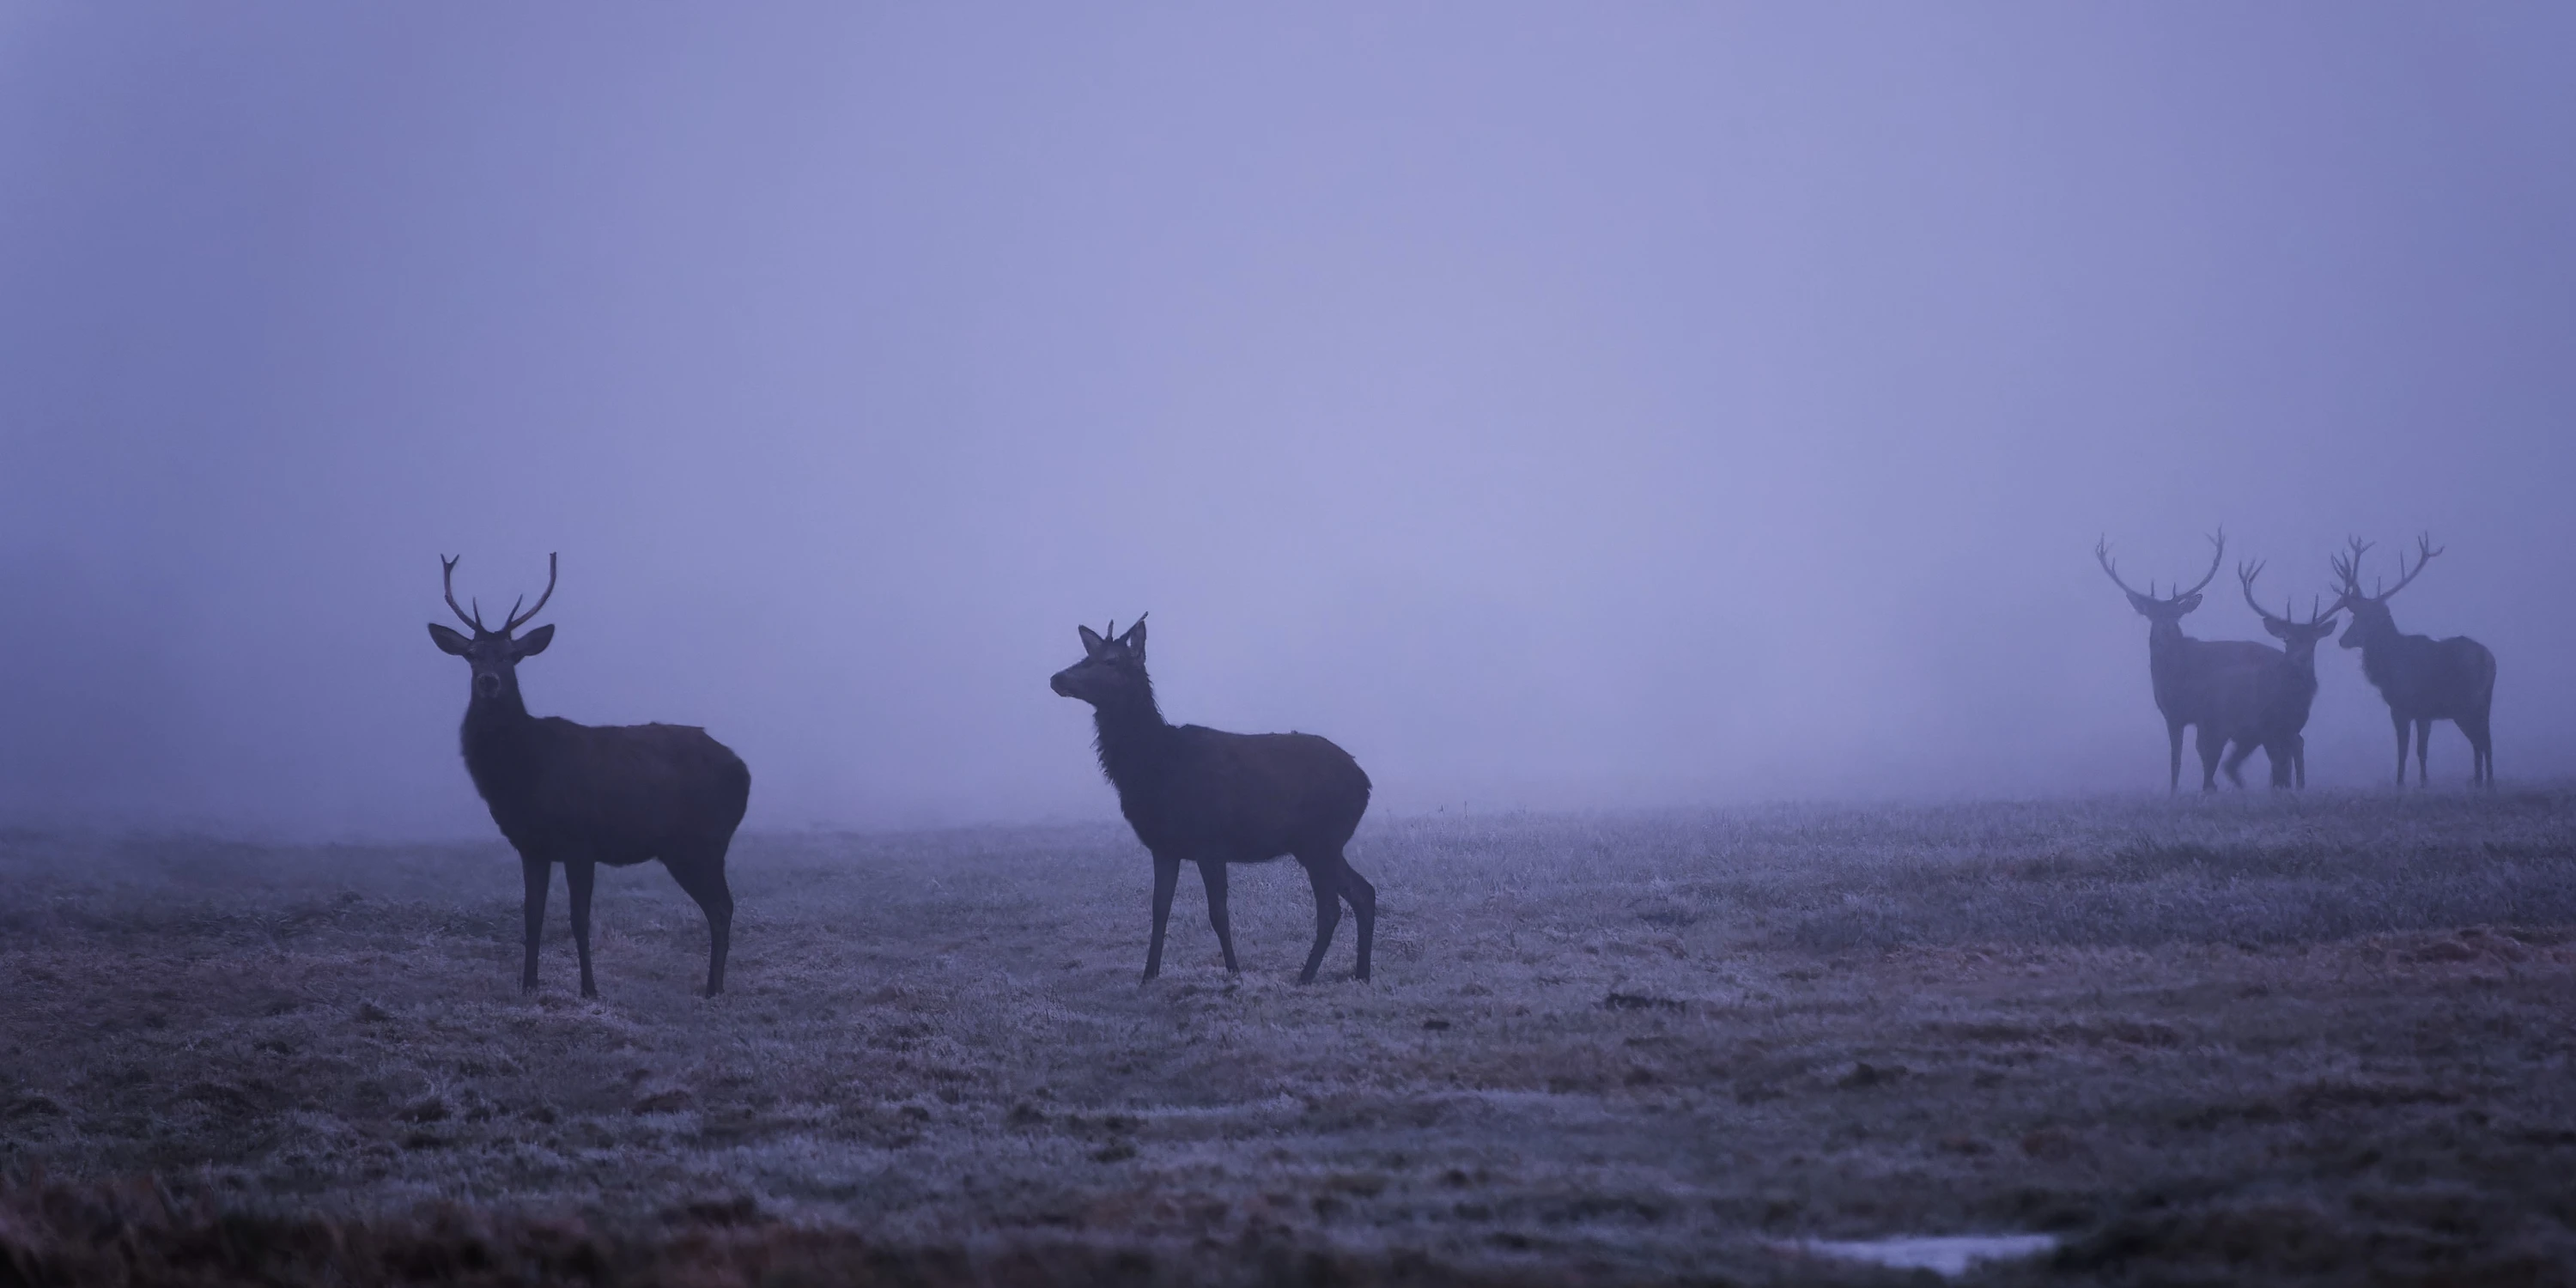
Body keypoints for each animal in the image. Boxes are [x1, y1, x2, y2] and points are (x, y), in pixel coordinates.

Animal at [428, 554, 752, 994]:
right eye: (472, 653)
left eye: (512, 654)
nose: (489, 681)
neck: (522, 773)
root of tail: (745, 771)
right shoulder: (531, 846)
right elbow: (532, 917)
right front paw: (528, 985)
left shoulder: (580, 840)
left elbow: (579, 919)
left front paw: (589, 989)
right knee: (722, 906)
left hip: (701, 841)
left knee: (722, 907)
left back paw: (713, 988)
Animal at [1046, 618, 1381, 979]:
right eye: (1085, 657)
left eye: (1111, 660)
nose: (1057, 678)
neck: (1152, 768)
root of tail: (1365, 783)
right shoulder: (1164, 847)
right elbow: (1159, 911)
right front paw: (1148, 976)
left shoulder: (1210, 842)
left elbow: (1218, 914)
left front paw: (1234, 972)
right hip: (1318, 844)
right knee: (1364, 892)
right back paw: (1361, 974)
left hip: (1320, 840)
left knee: (1332, 908)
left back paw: (1306, 977)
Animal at [2102, 528, 2287, 788]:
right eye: (2152, 615)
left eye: (2176, 614)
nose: (2164, 632)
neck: (2176, 680)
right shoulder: (2172, 715)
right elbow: (2176, 761)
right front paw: (2175, 792)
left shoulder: (2209, 714)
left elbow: (2206, 754)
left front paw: (2209, 788)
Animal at [2226, 562, 2349, 783]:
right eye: (2287, 639)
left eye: (2313, 641)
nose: (2301, 658)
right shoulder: (2265, 728)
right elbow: (2279, 768)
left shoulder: (2291, 729)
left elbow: (2287, 765)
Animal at [2329, 531, 2483, 783]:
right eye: (2354, 617)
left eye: (2367, 618)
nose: (2342, 640)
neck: (2389, 669)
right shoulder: (2418, 712)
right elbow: (2417, 750)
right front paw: (2420, 782)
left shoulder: (2406, 707)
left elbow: (2406, 750)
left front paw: (2405, 783)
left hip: (2468, 705)